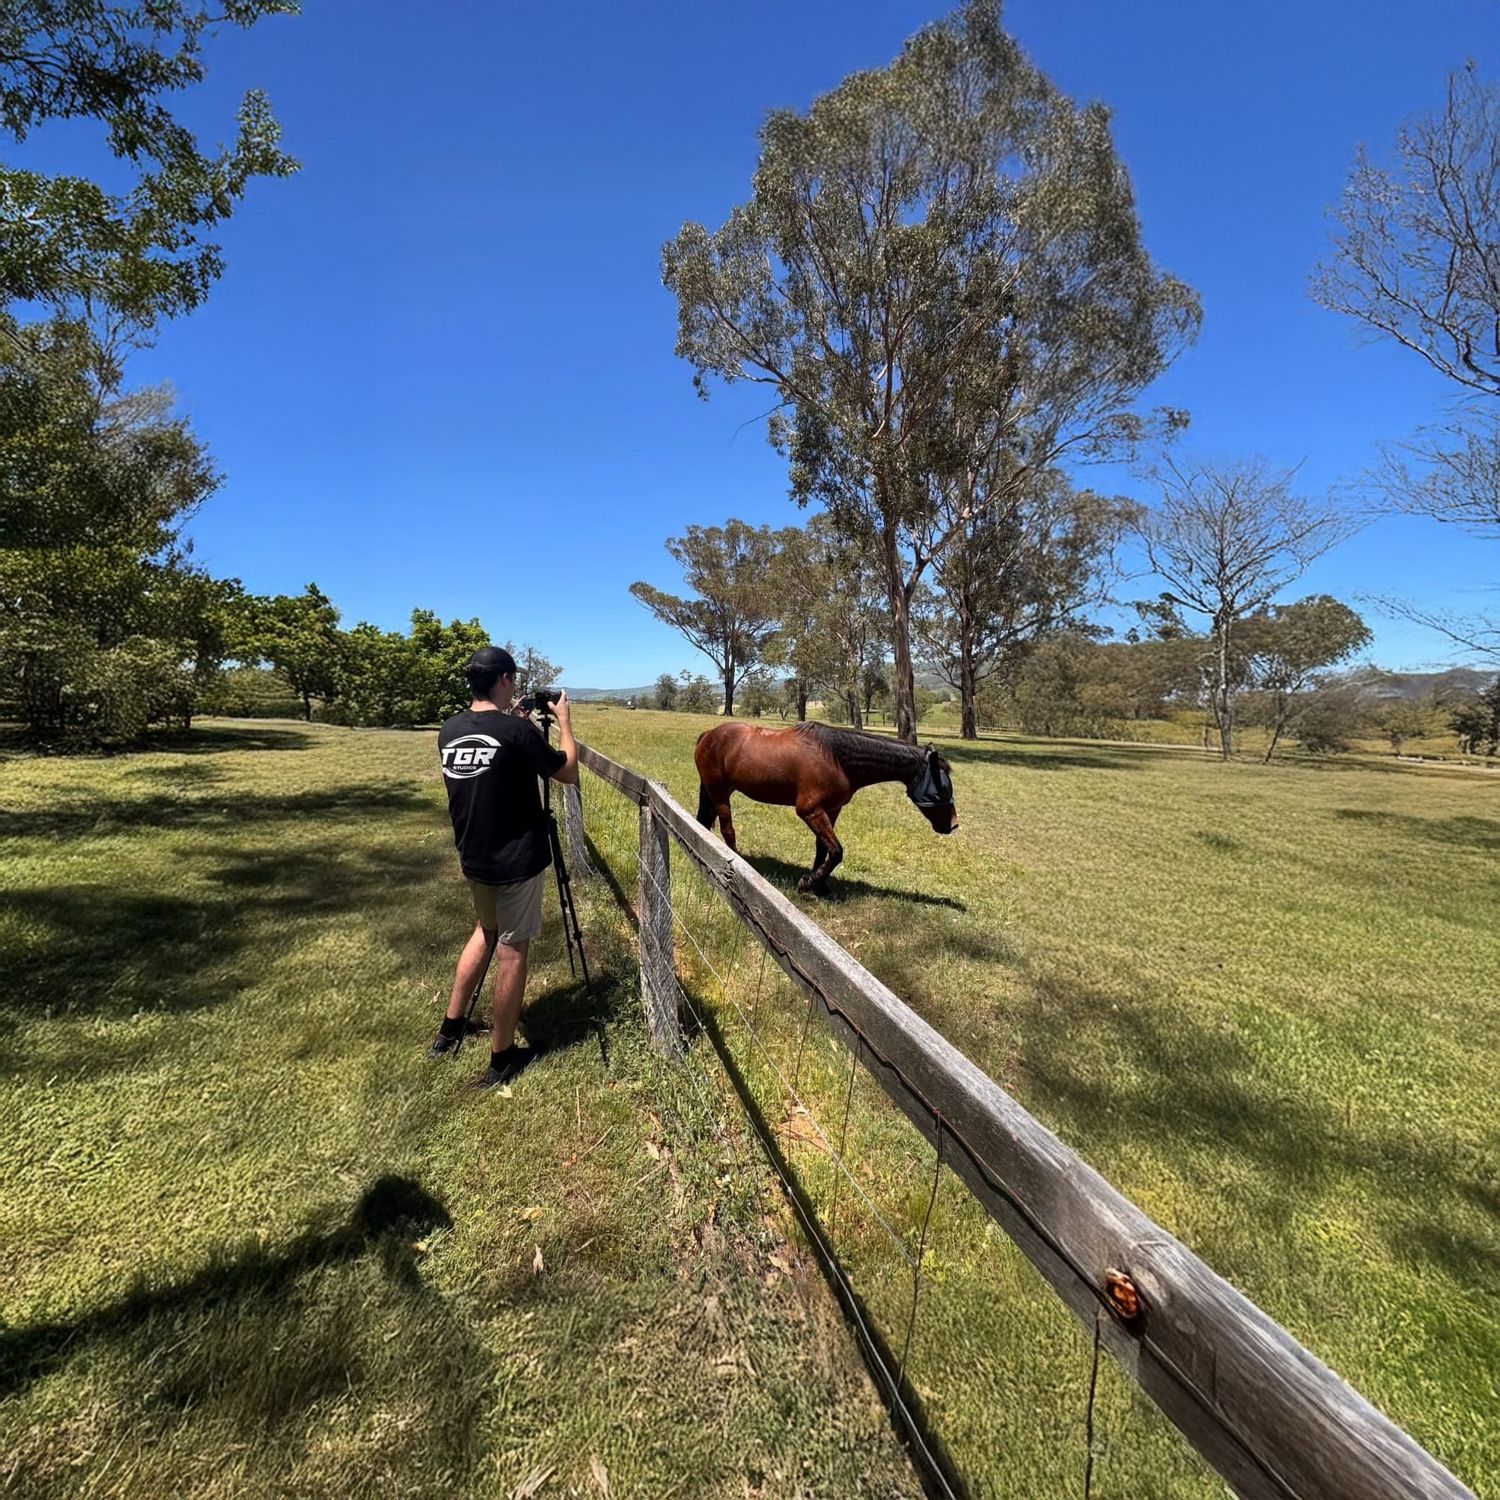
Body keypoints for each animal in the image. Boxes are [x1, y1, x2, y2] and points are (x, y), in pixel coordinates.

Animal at [694, 720, 958, 892]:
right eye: (942, 788)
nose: (953, 825)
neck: (837, 759)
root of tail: (708, 734)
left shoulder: (831, 810)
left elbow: (824, 848)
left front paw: (817, 884)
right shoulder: (809, 811)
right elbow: (837, 851)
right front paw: (808, 882)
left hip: (717, 792)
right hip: (719, 793)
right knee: (728, 830)